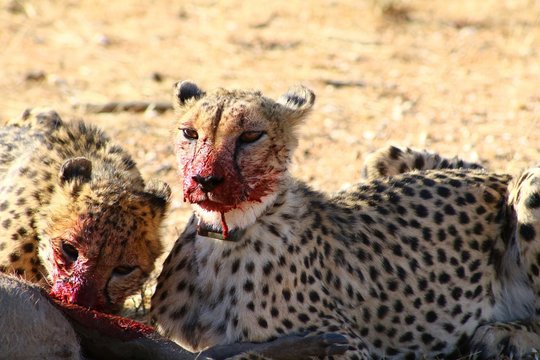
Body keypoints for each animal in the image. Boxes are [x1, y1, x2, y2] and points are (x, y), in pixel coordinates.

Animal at [151, 82, 540, 360]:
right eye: (189, 133)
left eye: (250, 136)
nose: (204, 179)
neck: (227, 232)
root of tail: (499, 175)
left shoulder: (350, 344)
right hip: (380, 159)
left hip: (530, 188)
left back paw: (504, 334)